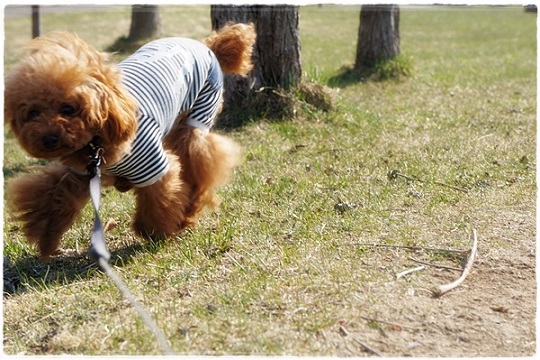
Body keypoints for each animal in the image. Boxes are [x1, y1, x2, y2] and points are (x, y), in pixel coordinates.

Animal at [5, 23, 256, 258]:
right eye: (33, 112)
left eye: (68, 109)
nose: (48, 139)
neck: (97, 142)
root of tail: (207, 45)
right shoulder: (80, 172)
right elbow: (51, 196)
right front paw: (46, 237)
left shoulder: (152, 165)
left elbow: (160, 197)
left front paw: (156, 232)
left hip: (199, 113)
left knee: (196, 162)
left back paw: (188, 212)